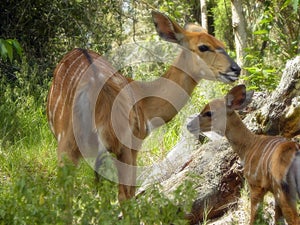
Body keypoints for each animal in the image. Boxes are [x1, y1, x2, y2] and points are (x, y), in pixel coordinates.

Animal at [47, 11, 241, 202]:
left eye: (221, 44)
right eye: (203, 47)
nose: (236, 69)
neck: (144, 102)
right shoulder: (135, 143)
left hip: (73, 147)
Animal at [186, 85, 298, 225]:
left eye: (209, 112)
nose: (189, 125)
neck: (248, 146)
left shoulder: (255, 185)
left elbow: (254, 218)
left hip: (282, 190)